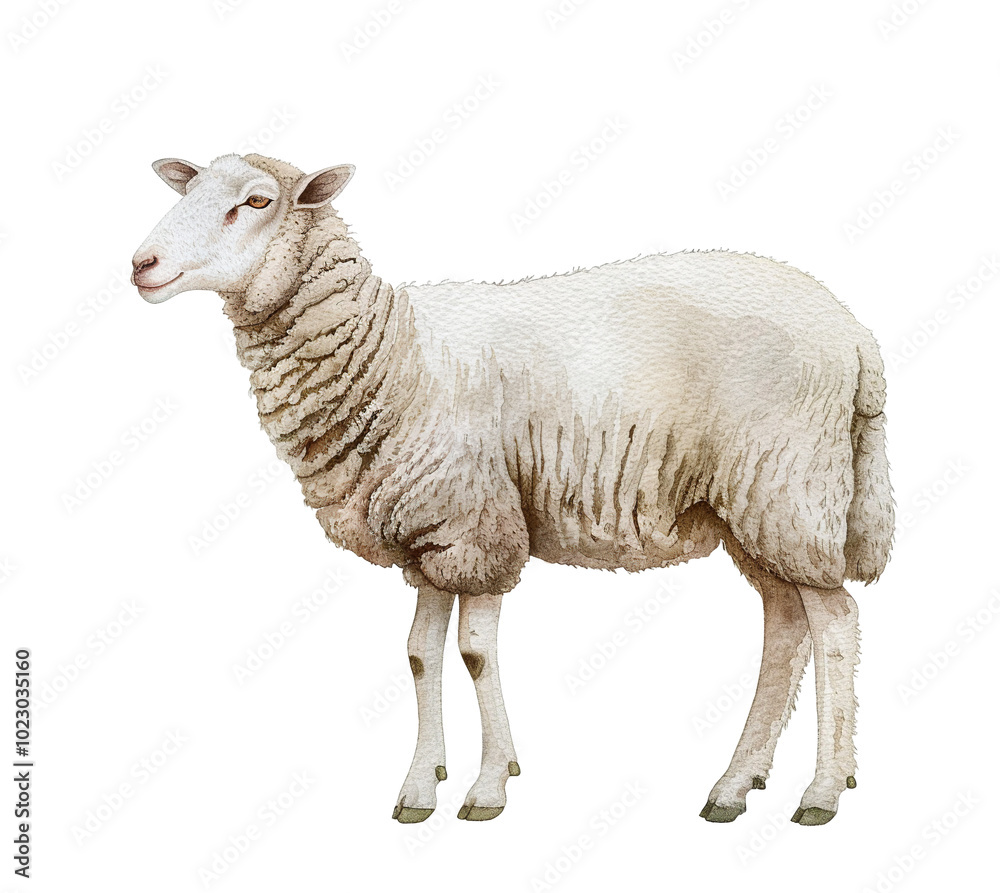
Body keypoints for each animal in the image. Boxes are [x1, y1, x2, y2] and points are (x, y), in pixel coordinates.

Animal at [132, 152, 893, 826]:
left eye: (257, 200)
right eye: (189, 188)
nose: (142, 265)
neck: (390, 349)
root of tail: (856, 336)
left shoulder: (479, 522)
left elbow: (473, 653)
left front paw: (489, 785)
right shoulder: (430, 531)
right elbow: (419, 653)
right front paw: (420, 785)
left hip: (790, 485)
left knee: (835, 626)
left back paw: (822, 791)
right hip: (754, 507)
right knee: (786, 627)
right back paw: (735, 785)